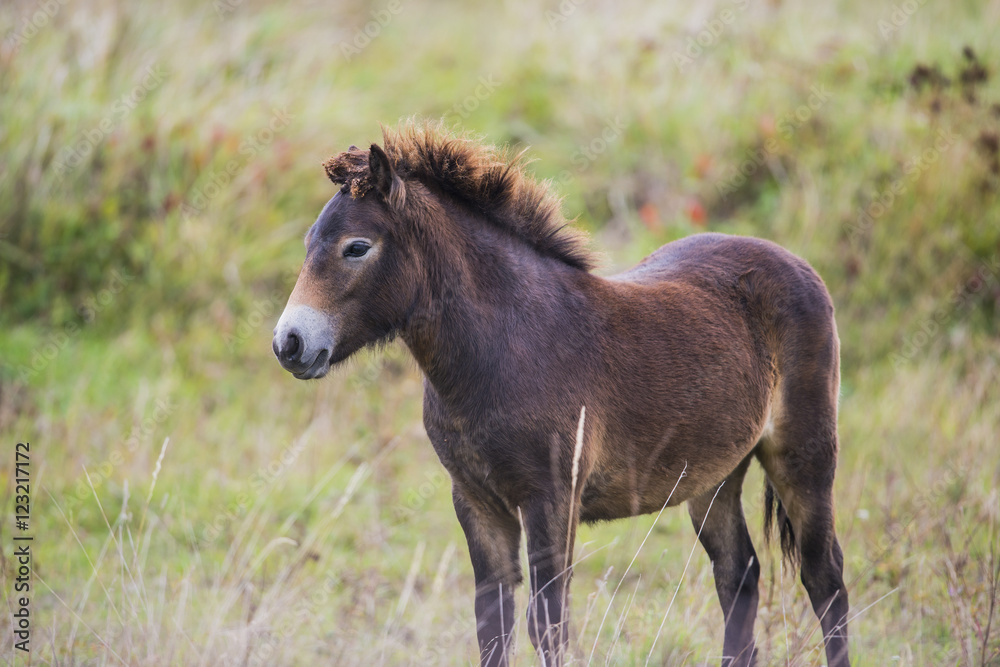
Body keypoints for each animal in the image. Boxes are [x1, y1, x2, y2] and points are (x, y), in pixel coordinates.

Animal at [272, 124, 850, 666]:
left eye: (356, 247)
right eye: (307, 244)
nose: (289, 343)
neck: (505, 346)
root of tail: (798, 265)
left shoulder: (551, 499)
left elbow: (548, 625)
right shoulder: (476, 501)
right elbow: (493, 626)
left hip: (803, 456)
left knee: (825, 580)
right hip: (715, 476)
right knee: (739, 575)